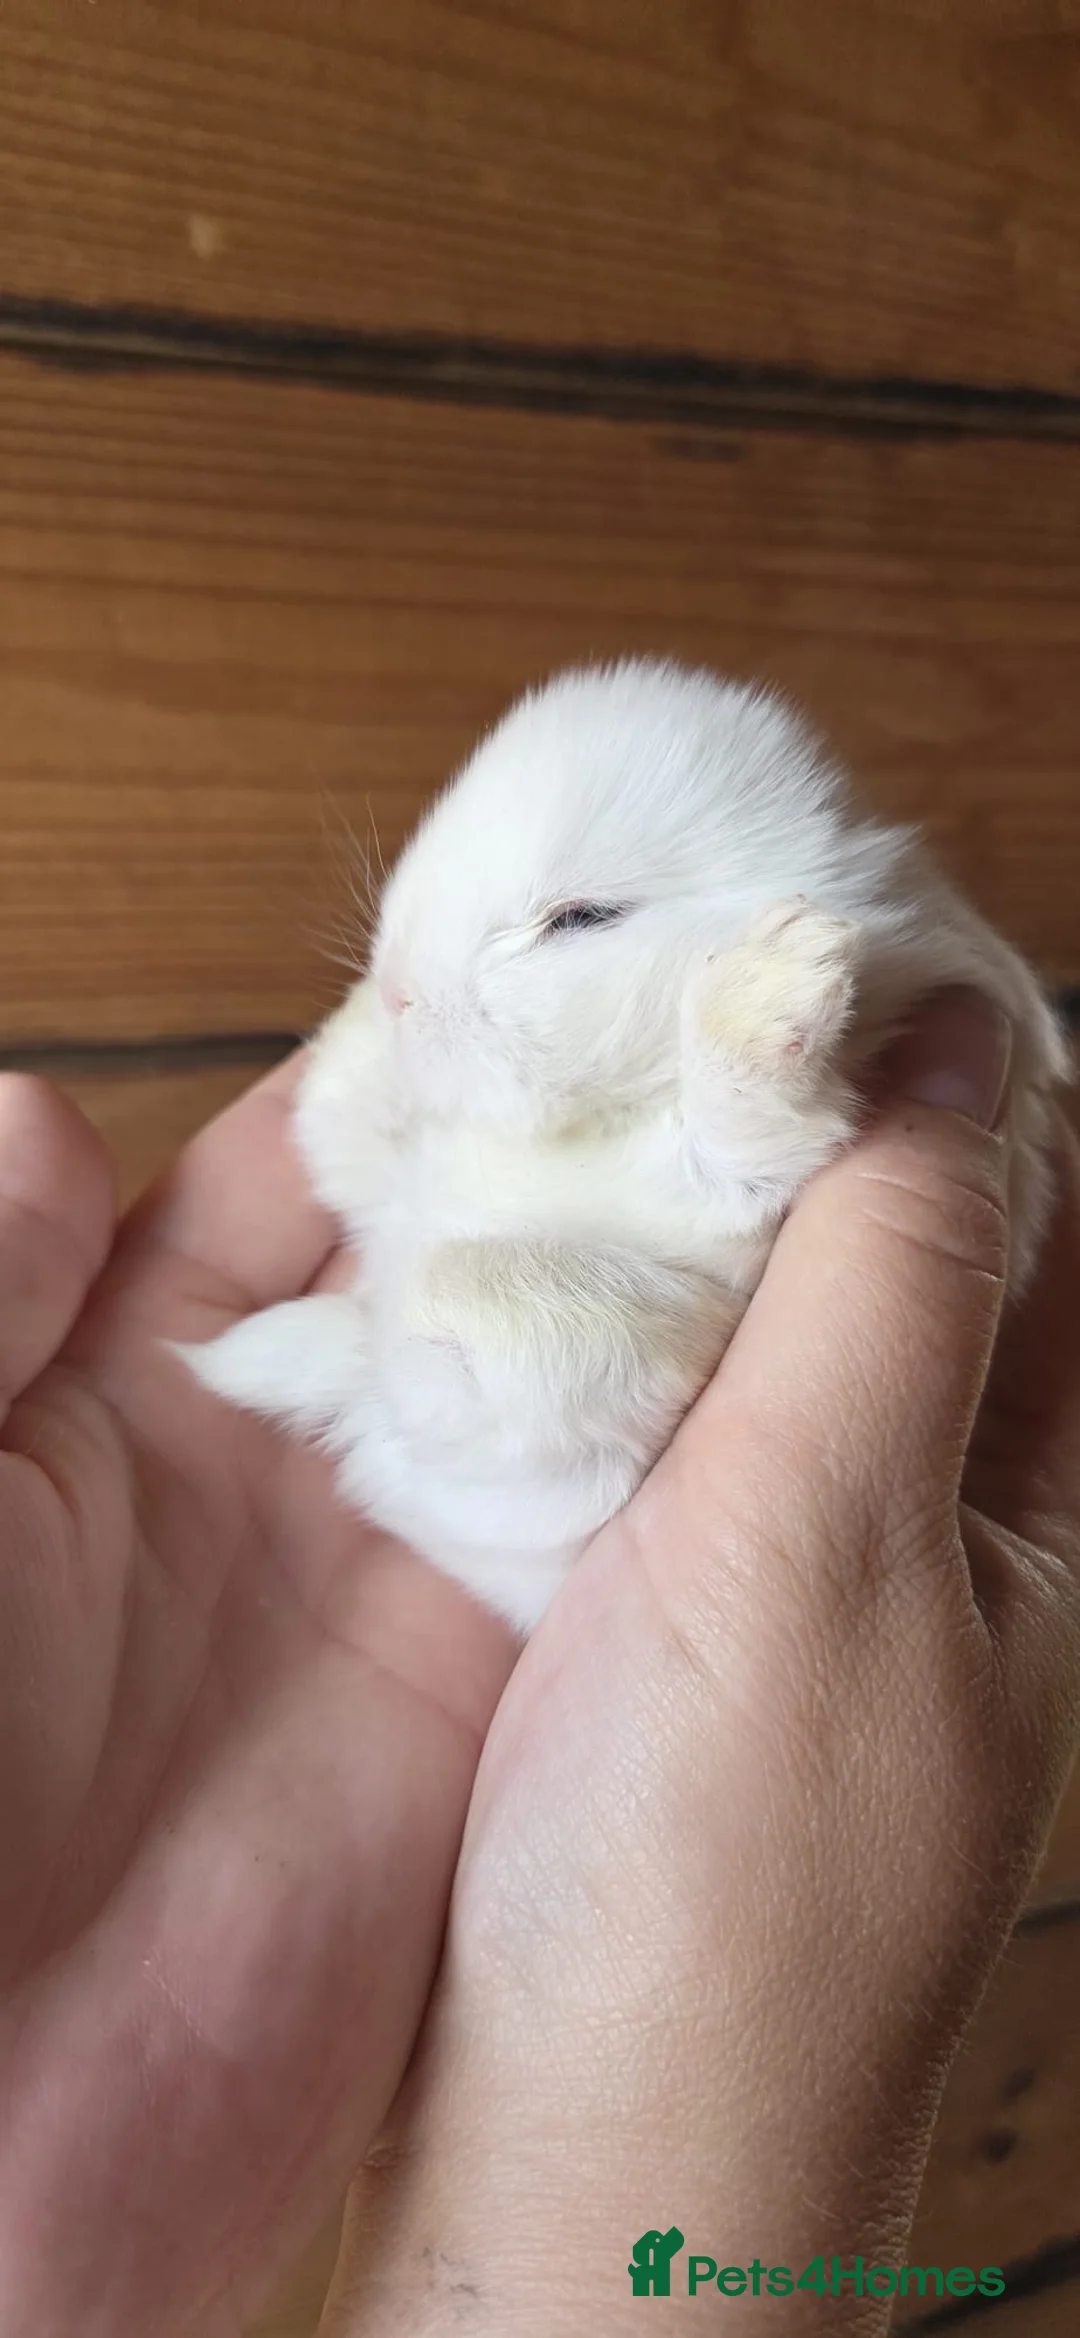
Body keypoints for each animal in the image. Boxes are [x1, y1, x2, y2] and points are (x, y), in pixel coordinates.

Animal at [177, 659, 1068, 1633]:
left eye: (582, 917)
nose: (397, 992)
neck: (582, 1127)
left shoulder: (743, 1187)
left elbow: (743, 1128)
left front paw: (777, 975)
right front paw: (358, 1041)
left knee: (457, 1305)